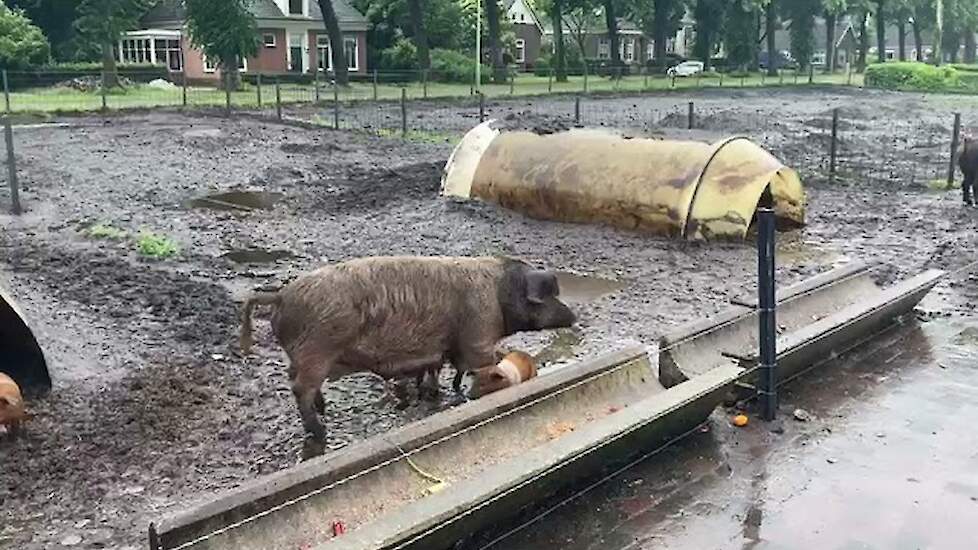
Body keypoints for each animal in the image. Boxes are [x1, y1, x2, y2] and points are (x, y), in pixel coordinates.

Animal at [238, 256, 572, 442]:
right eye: (549, 295)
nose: (574, 315)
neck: (499, 293)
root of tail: (281, 296)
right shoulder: (477, 336)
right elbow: (479, 364)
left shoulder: (442, 349)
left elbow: (441, 372)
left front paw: (436, 393)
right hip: (317, 350)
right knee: (299, 388)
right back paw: (320, 430)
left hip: (302, 354)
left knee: (296, 380)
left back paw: (323, 411)